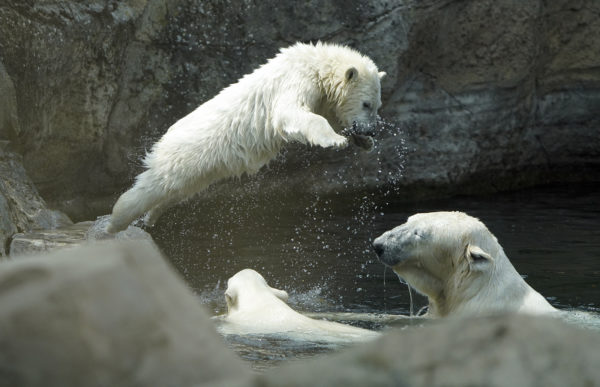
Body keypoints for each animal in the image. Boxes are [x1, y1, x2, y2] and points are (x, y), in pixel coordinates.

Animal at [107, 41, 384, 233]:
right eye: (367, 104)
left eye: (377, 106)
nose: (371, 130)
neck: (316, 63)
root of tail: (166, 137)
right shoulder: (297, 79)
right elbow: (291, 112)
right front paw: (336, 141)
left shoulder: (320, 93)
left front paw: (363, 141)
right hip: (181, 155)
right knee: (151, 187)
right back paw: (113, 224)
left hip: (199, 169)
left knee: (177, 192)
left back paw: (151, 217)